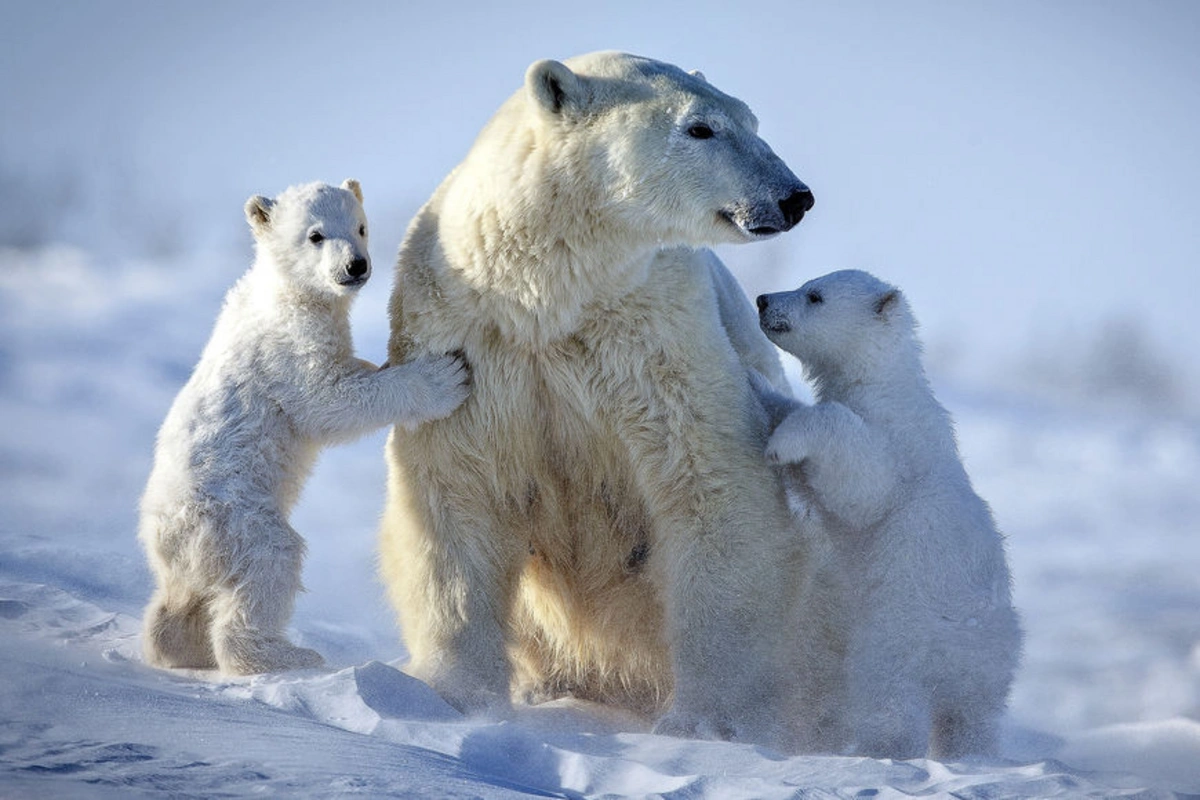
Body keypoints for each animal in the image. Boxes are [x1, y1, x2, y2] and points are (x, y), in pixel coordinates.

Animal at [142, 179, 470, 676]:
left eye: (360, 227)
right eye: (315, 235)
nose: (356, 265)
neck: (285, 290)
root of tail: (161, 540)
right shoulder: (289, 345)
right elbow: (327, 400)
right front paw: (442, 377)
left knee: (181, 600)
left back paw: (175, 645)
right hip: (233, 518)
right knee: (269, 563)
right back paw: (286, 655)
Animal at [376, 51, 835, 753]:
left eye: (750, 118)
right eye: (700, 127)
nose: (794, 196)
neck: (549, 296)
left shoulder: (655, 338)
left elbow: (710, 485)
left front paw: (708, 722)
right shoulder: (470, 341)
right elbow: (456, 494)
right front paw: (455, 699)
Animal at [758, 271, 1022, 762]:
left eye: (814, 295)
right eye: (806, 284)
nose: (764, 299)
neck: (882, 382)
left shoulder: (896, 441)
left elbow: (865, 484)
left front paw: (782, 442)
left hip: (899, 636)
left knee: (891, 699)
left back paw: (880, 750)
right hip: (993, 667)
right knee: (973, 718)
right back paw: (969, 755)